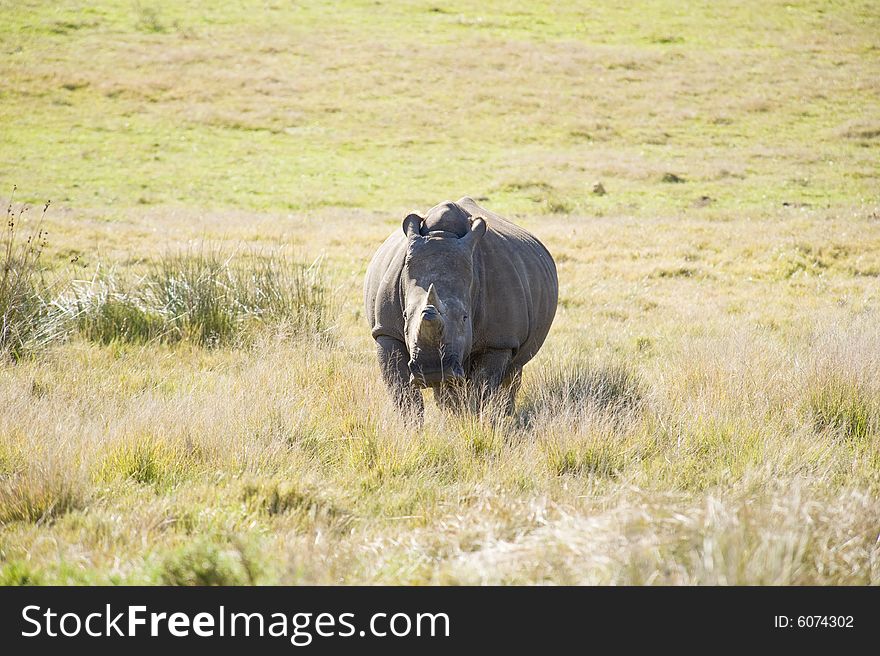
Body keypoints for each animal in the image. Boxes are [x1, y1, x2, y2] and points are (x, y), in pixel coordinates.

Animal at [362, 197, 556, 418]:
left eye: (465, 317)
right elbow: (403, 393)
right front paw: (413, 426)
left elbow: (481, 390)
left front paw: (471, 420)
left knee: (513, 370)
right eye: (405, 315)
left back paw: (505, 415)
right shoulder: (386, 331)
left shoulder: (499, 341)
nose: (432, 370)